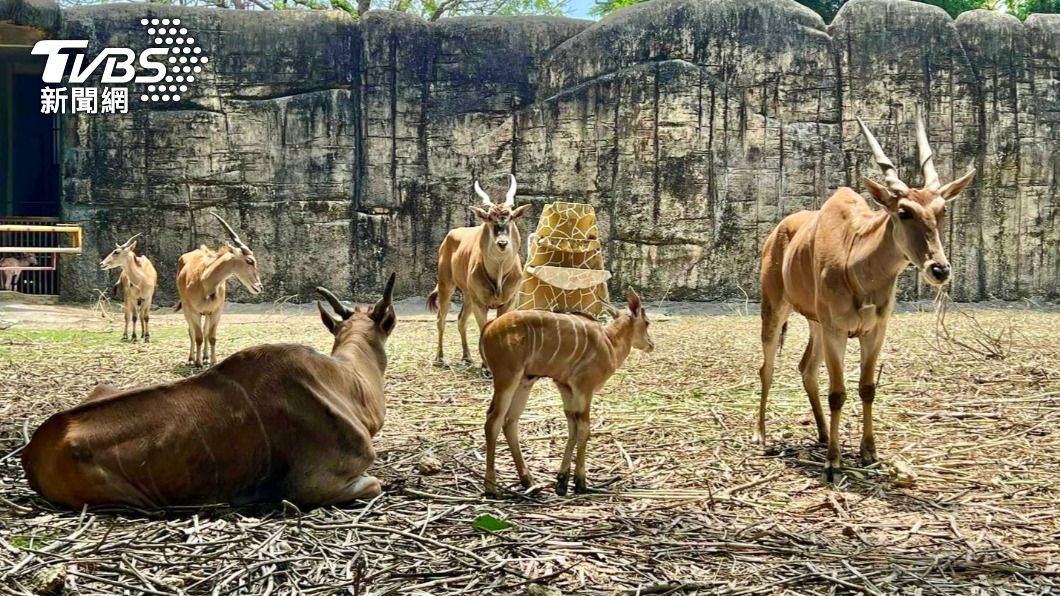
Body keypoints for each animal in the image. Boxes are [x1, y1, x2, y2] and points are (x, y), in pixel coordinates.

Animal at [174, 209, 263, 366]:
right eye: (250, 261)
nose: (259, 287)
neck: (204, 281)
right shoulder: (194, 311)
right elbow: (197, 336)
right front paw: (197, 363)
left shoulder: (216, 311)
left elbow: (211, 337)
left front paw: (212, 361)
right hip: (187, 309)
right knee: (192, 332)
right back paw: (191, 359)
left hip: (207, 314)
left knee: (204, 332)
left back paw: (205, 357)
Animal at [428, 173, 534, 364]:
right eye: (490, 218)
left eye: (510, 217)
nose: (502, 243)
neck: (499, 273)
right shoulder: (480, 303)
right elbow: (483, 328)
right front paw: (486, 365)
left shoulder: (509, 302)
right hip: (446, 285)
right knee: (441, 319)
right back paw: (440, 357)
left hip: (468, 295)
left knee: (461, 319)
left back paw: (467, 356)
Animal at [481, 286, 652, 494]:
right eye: (647, 322)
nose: (651, 345)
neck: (609, 342)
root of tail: (489, 326)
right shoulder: (584, 388)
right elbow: (584, 429)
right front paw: (580, 482)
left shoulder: (565, 387)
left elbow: (573, 427)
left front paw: (562, 481)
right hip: (507, 379)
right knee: (493, 420)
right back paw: (491, 486)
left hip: (524, 383)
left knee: (510, 421)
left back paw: (529, 481)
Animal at [754, 105, 975, 477]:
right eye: (904, 211)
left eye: (941, 210)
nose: (939, 269)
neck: (855, 263)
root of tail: (776, 233)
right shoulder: (837, 329)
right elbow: (838, 392)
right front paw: (833, 461)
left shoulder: (874, 330)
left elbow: (867, 388)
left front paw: (868, 451)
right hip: (775, 309)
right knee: (767, 368)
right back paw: (761, 435)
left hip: (814, 322)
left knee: (806, 368)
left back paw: (822, 434)